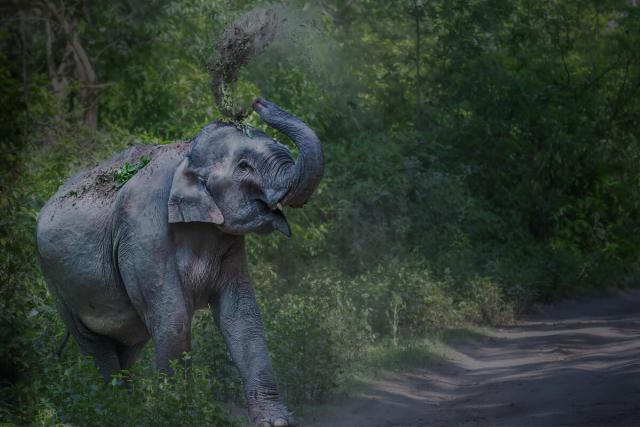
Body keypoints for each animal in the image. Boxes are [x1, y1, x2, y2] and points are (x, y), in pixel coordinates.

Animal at [36, 98, 323, 427]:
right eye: (244, 166)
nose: (258, 102)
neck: (186, 155)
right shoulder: (144, 232)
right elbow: (174, 321)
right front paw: (177, 415)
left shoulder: (229, 244)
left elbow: (242, 316)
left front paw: (276, 422)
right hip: (58, 284)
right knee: (97, 347)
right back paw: (115, 411)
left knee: (128, 347)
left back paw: (129, 409)